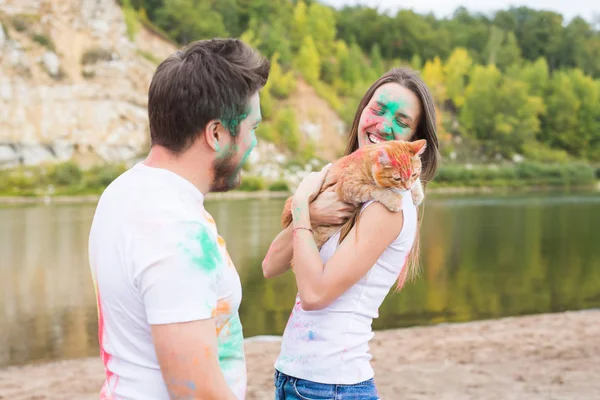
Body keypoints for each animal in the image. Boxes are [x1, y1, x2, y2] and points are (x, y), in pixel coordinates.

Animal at [282, 138, 426, 250]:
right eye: (397, 179)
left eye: (414, 174)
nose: (407, 188)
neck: (367, 163)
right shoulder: (349, 186)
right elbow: (375, 189)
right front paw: (393, 198)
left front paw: (417, 192)